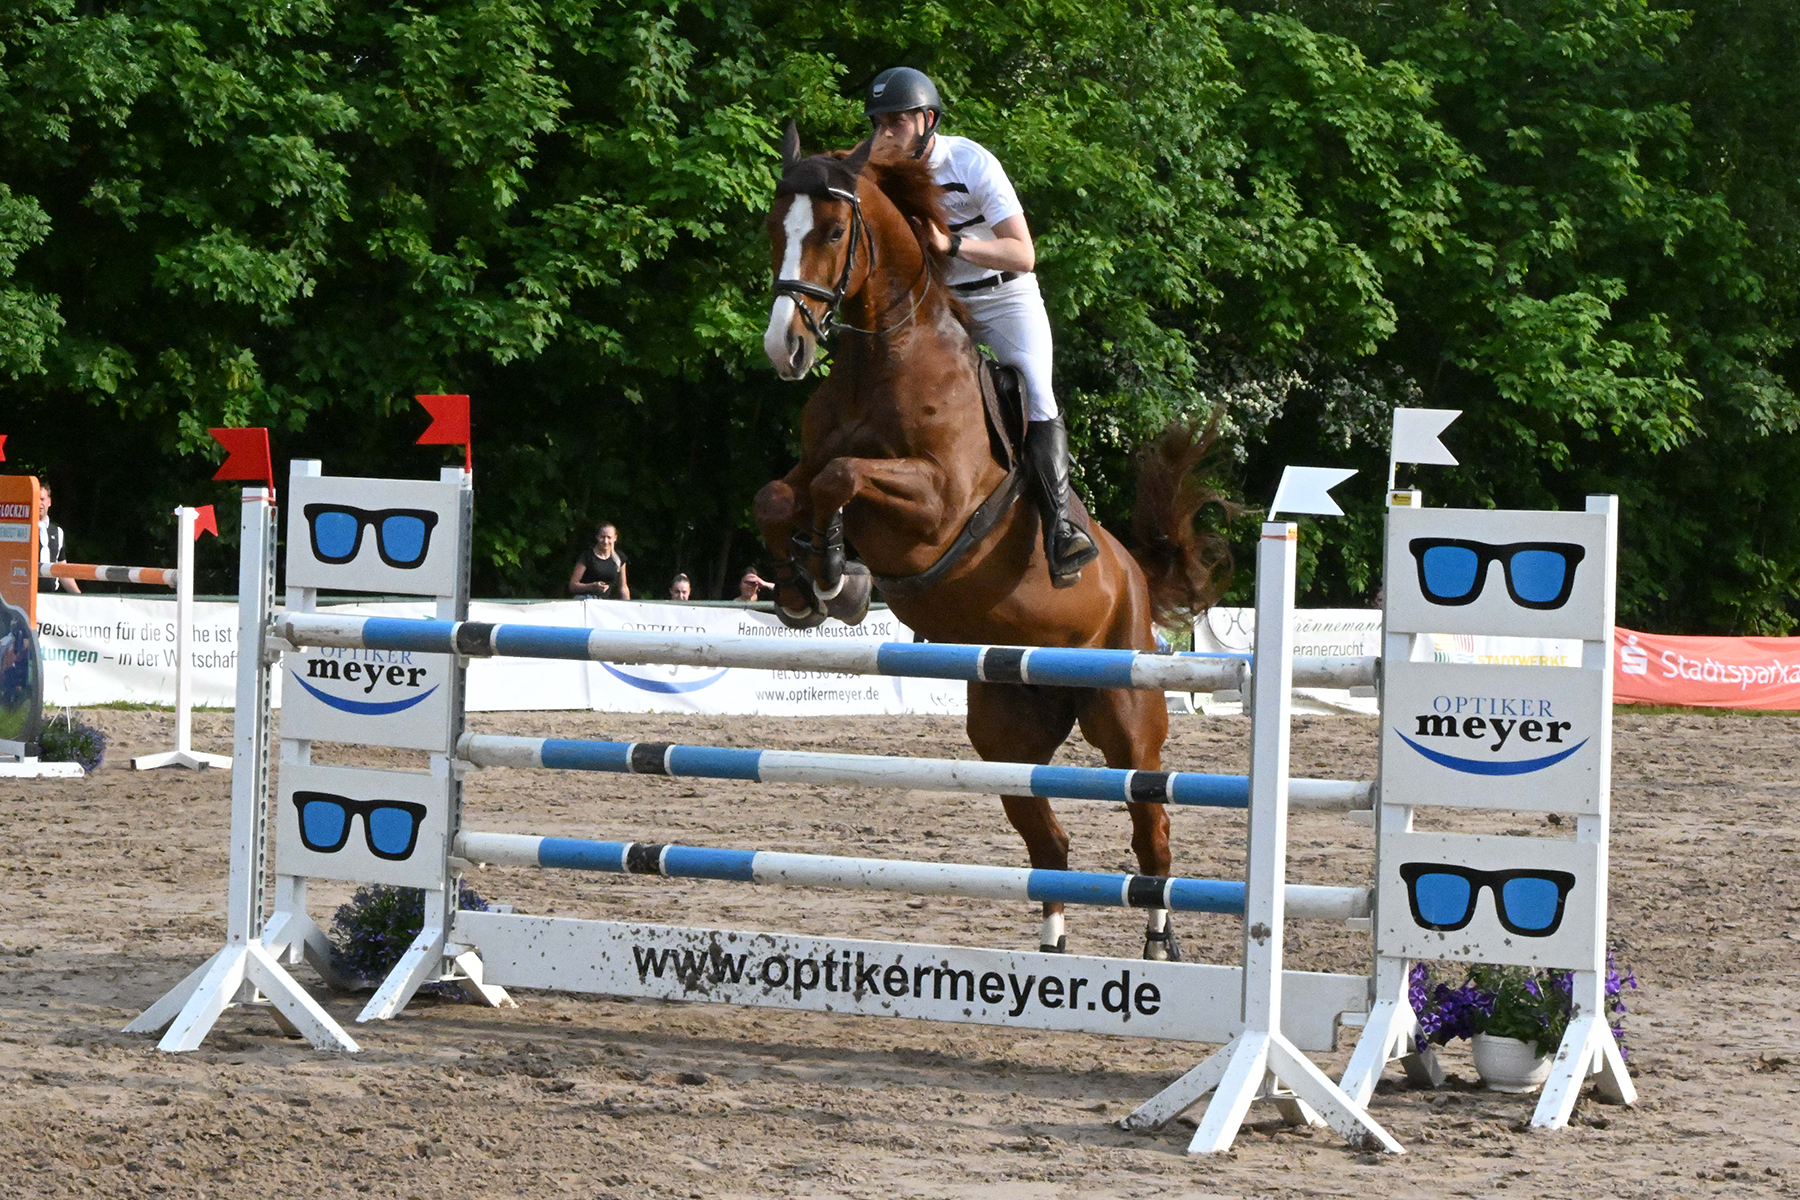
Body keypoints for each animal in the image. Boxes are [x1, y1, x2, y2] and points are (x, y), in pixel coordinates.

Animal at [755, 124, 1234, 960]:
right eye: (774, 227)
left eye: (835, 232)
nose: (785, 347)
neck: (886, 355)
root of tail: (1135, 577)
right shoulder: (813, 470)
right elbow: (781, 495)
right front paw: (807, 585)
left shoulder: (937, 505)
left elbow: (842, 479)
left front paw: (837, 576)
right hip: (1005, 732)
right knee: (1049, 842)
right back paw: (1053, 946)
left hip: (1125, 718)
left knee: (1152, 827)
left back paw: (1158, 941)